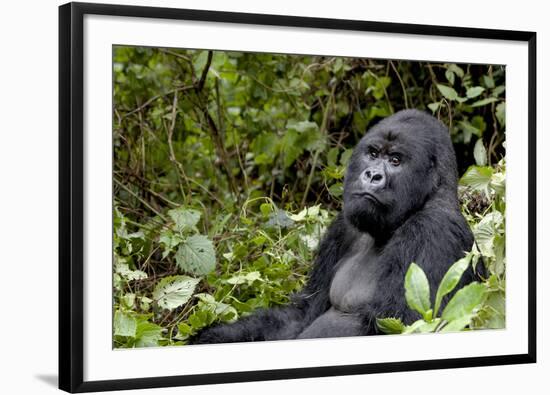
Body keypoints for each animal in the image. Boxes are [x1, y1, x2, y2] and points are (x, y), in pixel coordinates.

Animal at [192, 109, 476, 344]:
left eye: (396, 160)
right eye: (373, 154)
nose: (372, 175)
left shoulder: (433, 231)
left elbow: (407, 324)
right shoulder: (342, 228)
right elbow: (301, 314)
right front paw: (210, 337)